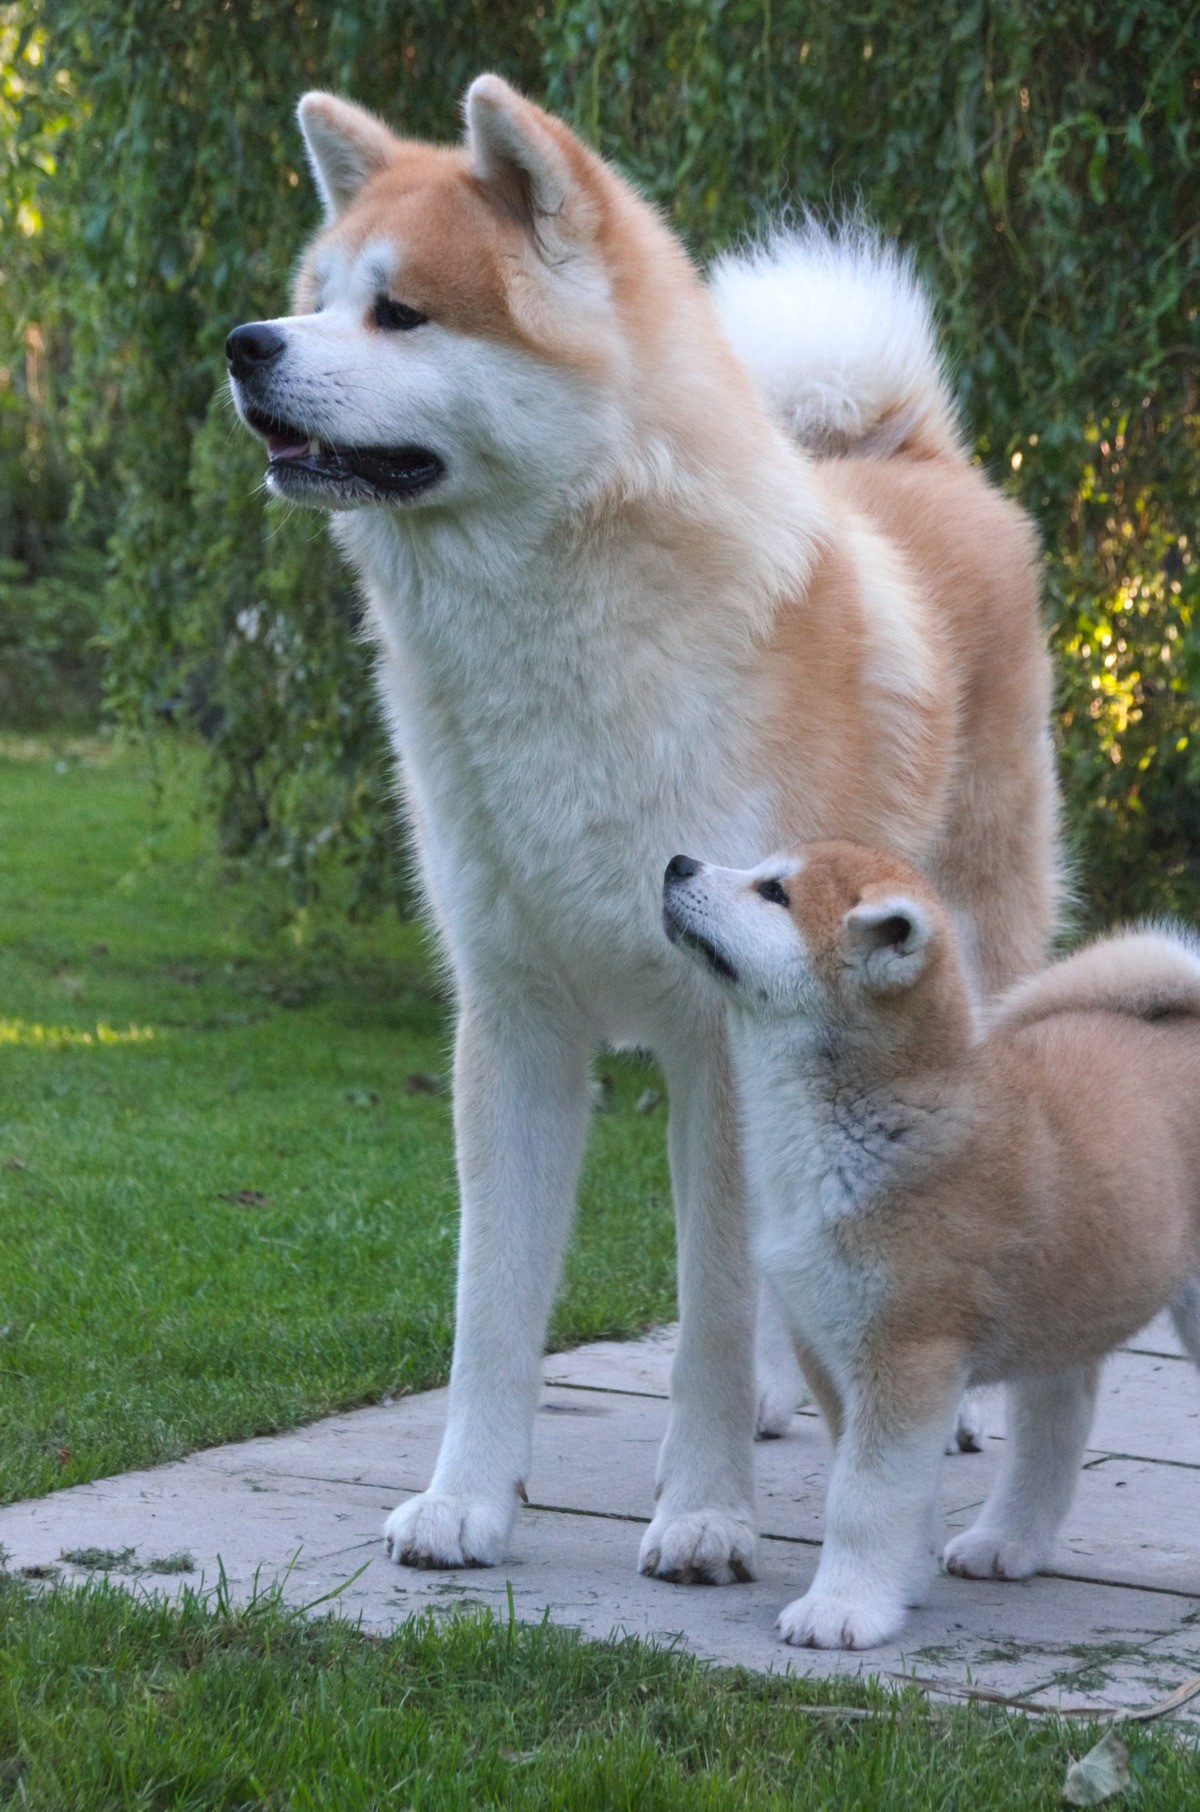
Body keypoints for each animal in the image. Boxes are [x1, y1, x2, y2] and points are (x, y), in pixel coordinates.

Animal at [226, 74, 1061, 1585]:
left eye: (402, 314)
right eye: (316, 298)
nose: (244, 345)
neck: (561, 634)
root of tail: (905, 450)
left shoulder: (716, 1029)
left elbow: (711, 1314)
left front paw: (706, 1516)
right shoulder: (512, 1023)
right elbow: (493, 1304)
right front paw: (468, 1502)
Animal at [664, 840, 1200, 1646]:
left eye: (774, 893)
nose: (677, 863)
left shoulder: (907, 1350)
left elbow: (863, 1496)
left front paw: (841, 1608)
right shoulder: (830, 1343)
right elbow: (880, 1485)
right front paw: (899, 1585)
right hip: (1063, 1311)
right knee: (1053, 1433)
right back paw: (1004, 1543)